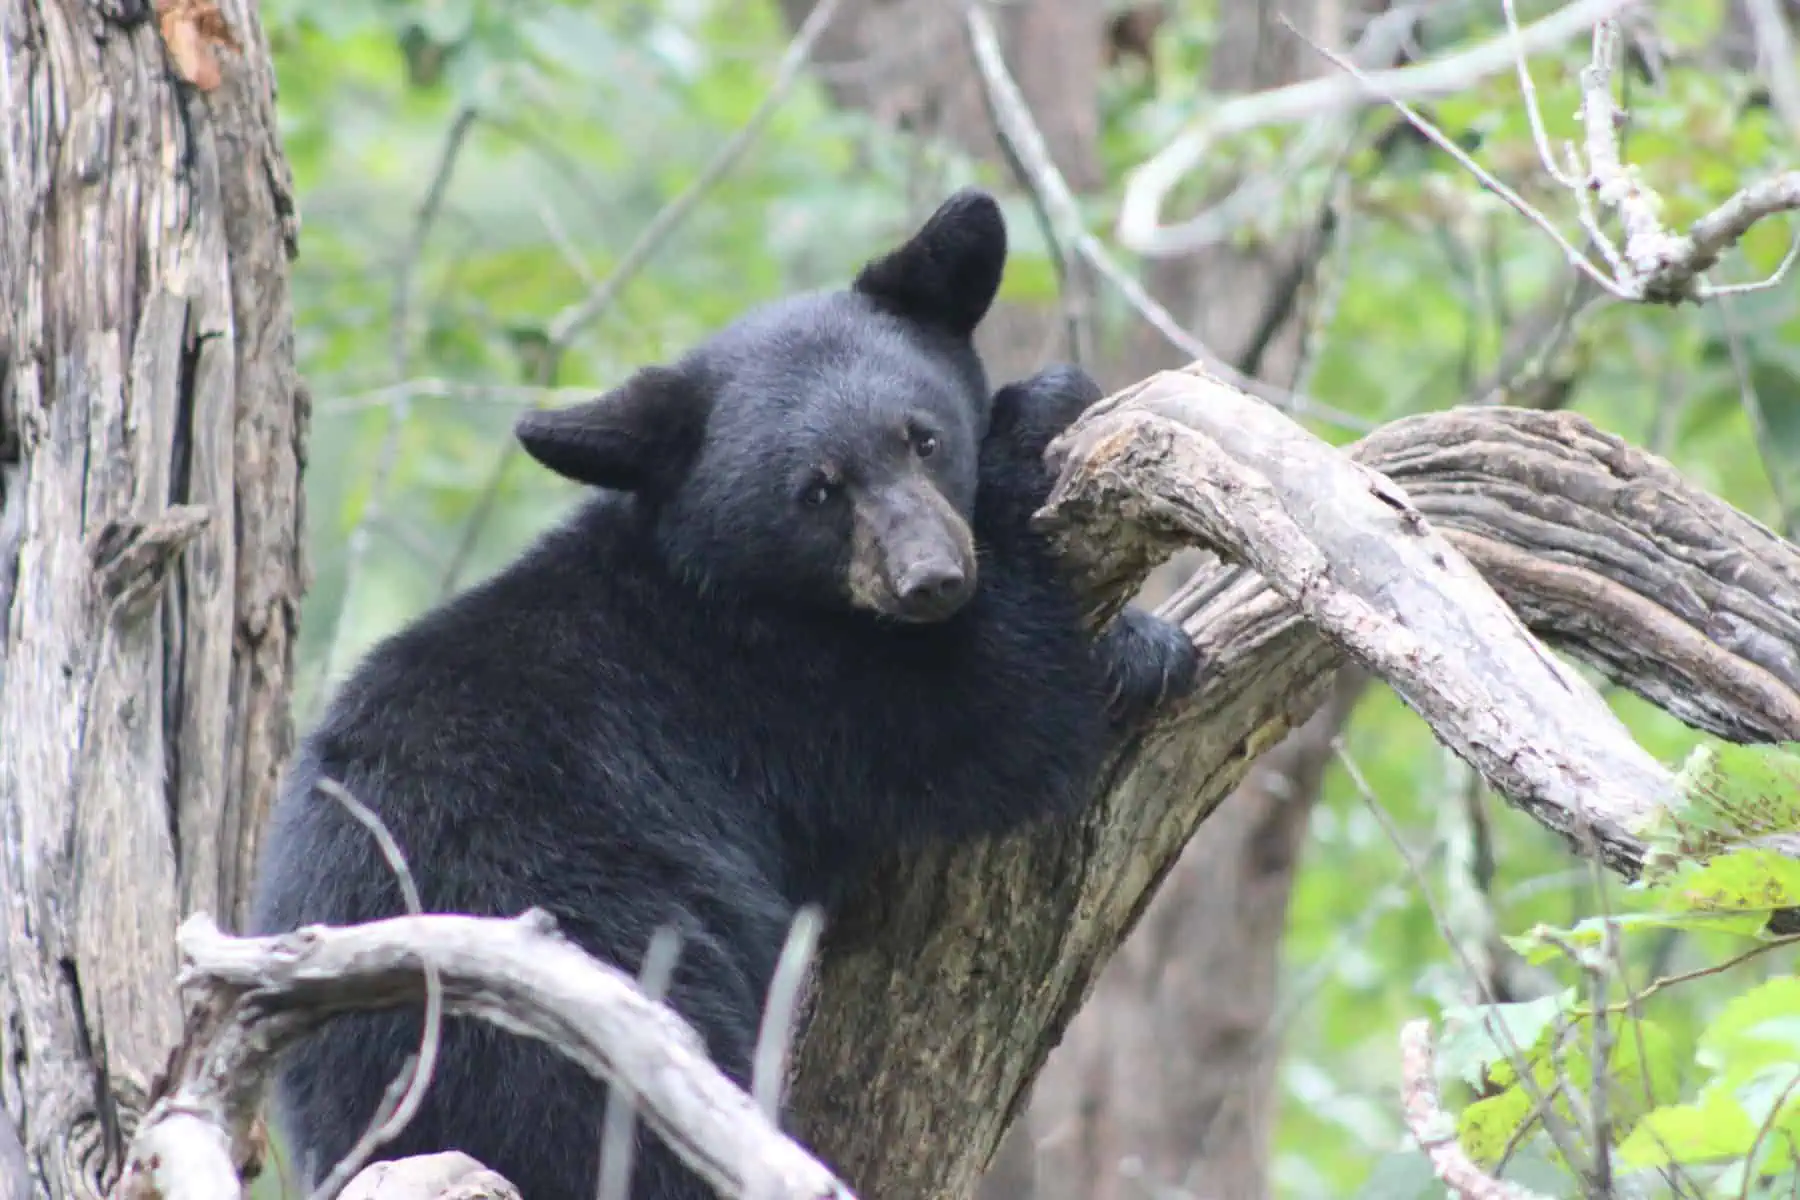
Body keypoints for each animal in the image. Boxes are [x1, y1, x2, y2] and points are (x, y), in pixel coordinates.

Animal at [248, 188, 1200, 1200]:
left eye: (922, 437)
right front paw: (1039, 418)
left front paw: (1143, 639)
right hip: (581, 970)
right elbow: (1000, 714)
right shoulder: (785, 696)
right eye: (818, 490)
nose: (930, 578)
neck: (718, 584)